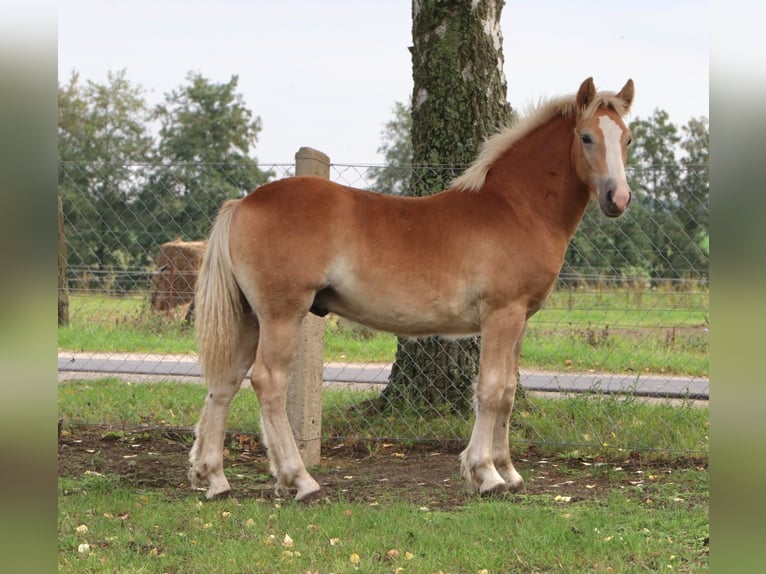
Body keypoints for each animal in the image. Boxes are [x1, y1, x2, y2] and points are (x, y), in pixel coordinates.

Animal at [188, 77, 636, 504]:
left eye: (627, 139)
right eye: (586, 137)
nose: (618, 198)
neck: (515, 208)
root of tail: (243, 204)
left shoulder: (520, 320)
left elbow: (508, 392)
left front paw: (509, 472)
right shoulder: (501, 314)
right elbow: (490, 390)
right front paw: (486, 474)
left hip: (250, 317)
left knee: (225, 382)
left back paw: (214, 478)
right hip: (282, 314)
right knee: (268, 382)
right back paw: (300, 480)